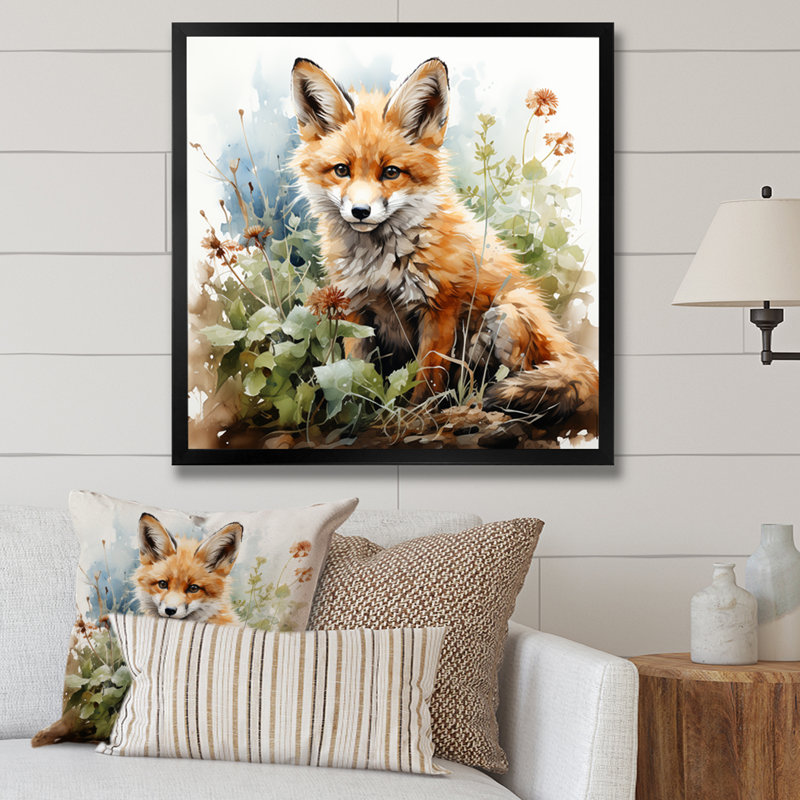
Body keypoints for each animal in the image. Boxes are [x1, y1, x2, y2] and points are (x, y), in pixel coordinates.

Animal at [290, 57, 599, 425]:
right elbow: (355, 370)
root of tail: (565, 345)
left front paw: (414, 417)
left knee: (516, 373)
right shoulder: (354, 308)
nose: (360, 211)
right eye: (341, 170)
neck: (383, 264)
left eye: (391, 172)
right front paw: (353, 414)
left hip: (505, 315)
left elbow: (428, 375)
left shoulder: (439, 307)